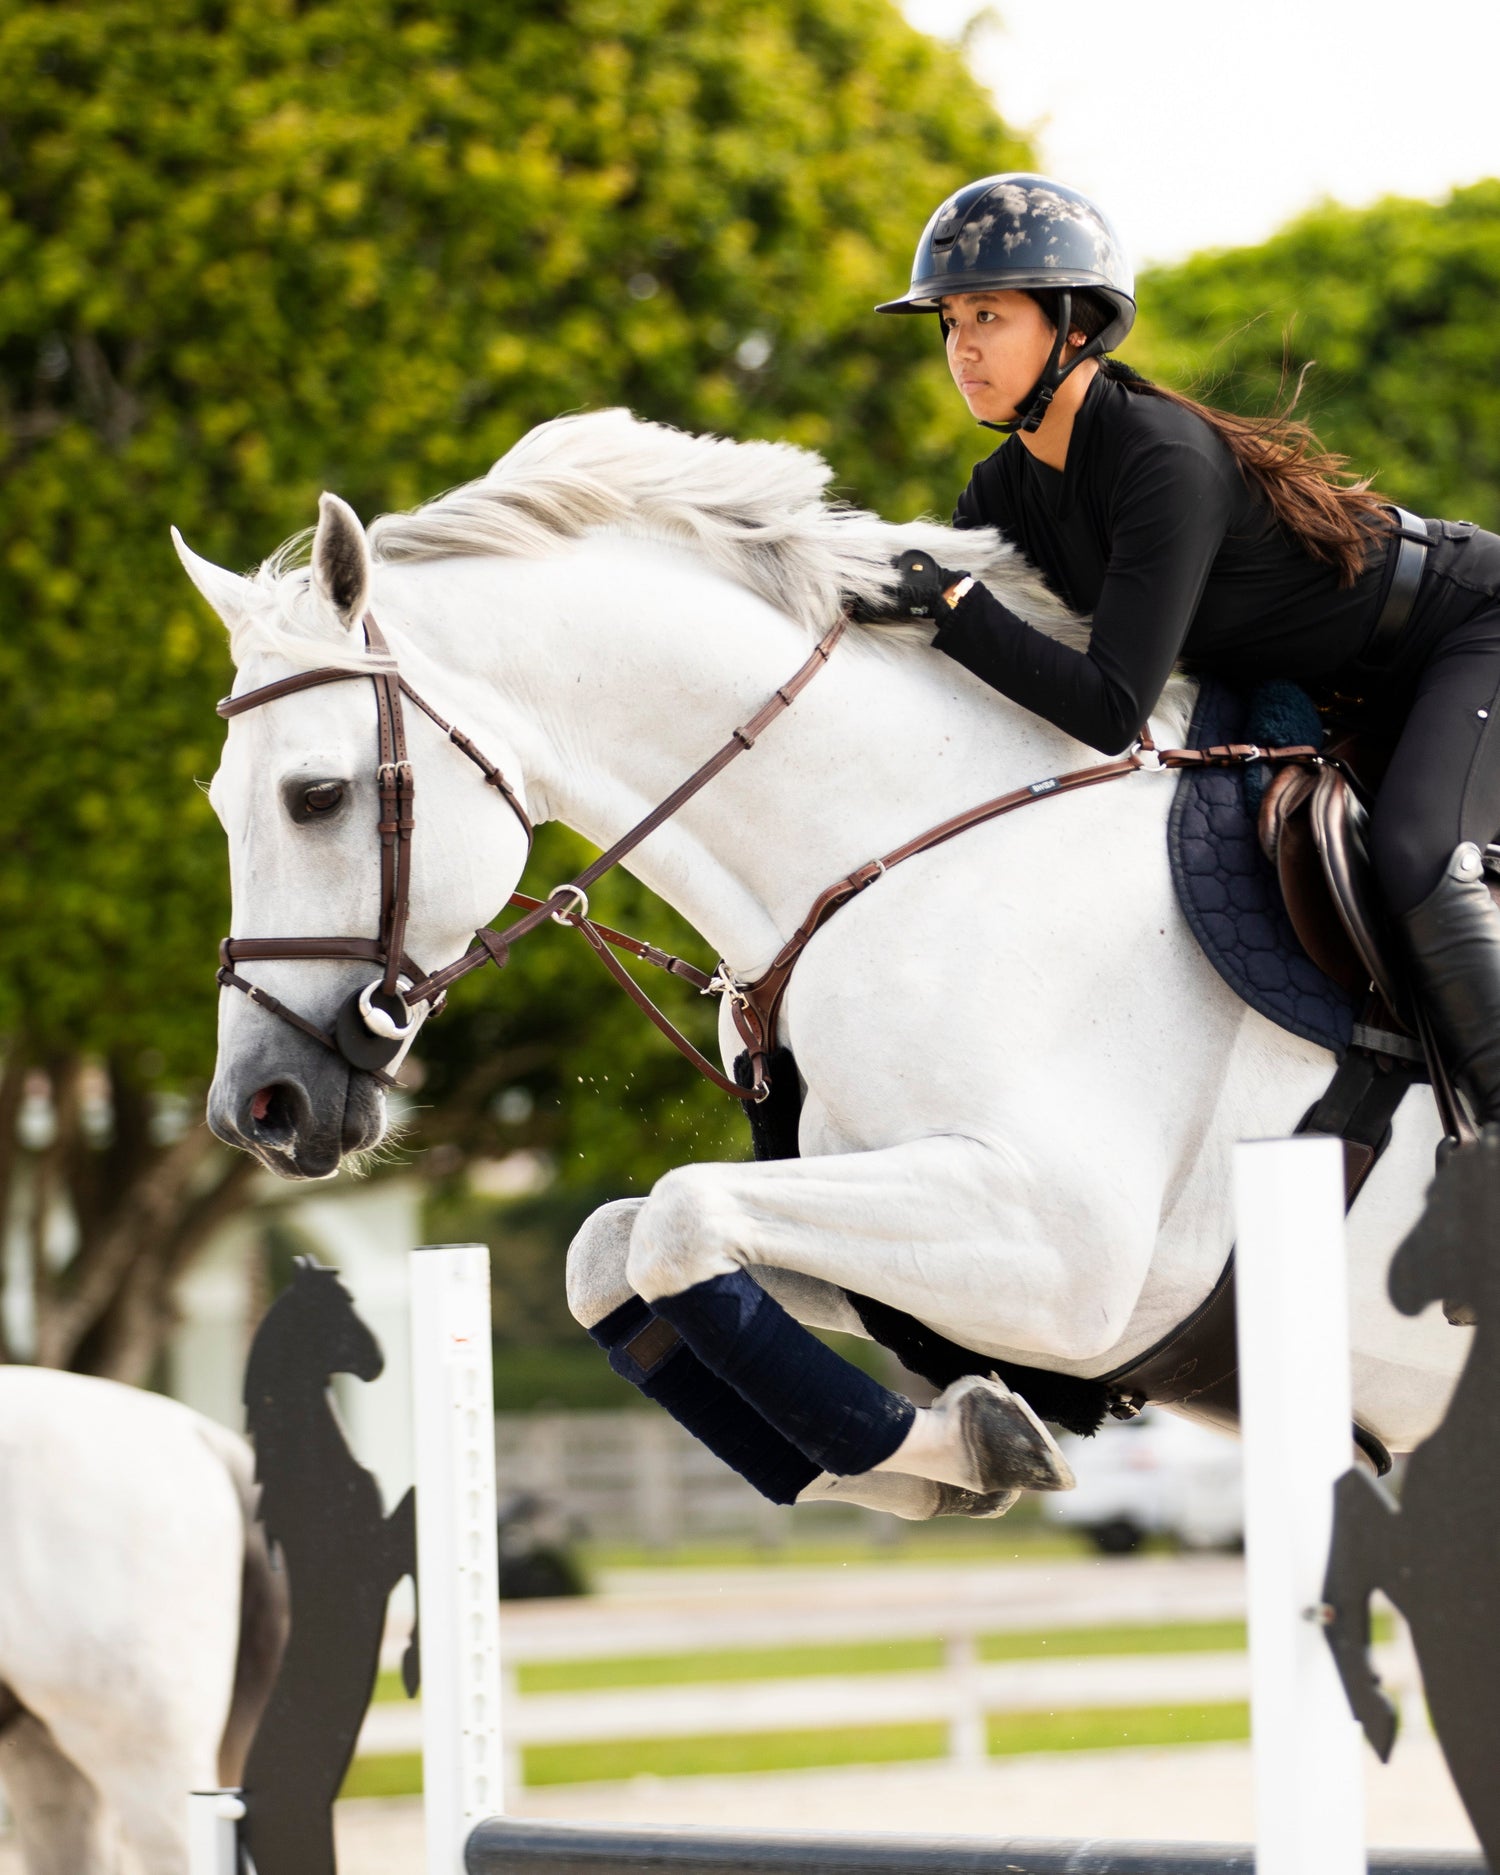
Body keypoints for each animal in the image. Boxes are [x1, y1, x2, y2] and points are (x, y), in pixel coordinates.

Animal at [176, 407, 1467, 1517]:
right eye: (221, 805)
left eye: (315, 796)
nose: (258, 1109)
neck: (916, 844)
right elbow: (614, 1251)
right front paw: (966, 1450)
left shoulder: (1065, 1251)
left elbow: (679, 1218)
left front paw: (978, 1441)